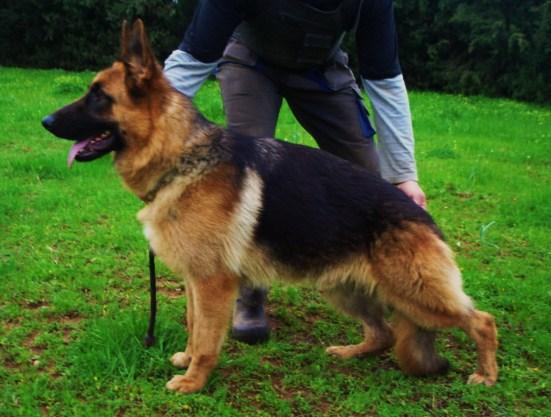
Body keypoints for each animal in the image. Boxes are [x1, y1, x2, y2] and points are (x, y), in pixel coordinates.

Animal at [42, 20, 500, 390]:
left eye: (98, 97)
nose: (45, 122)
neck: (182, 157)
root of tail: (423, 216)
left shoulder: (213, 283)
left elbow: (206, 338)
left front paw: (193, 381)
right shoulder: (195, 280)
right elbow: (193, 325)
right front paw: (187, 360)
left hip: (416, 294)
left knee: (482, 320)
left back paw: (487, 375)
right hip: (343, 288)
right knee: (385, 333)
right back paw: (351, 353)